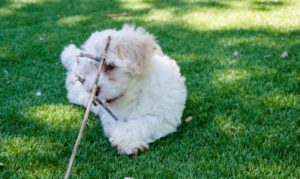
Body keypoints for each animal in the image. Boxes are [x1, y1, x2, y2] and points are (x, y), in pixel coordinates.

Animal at [60, 24, 186, 155]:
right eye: (87, 74)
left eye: (110, 66)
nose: (92, 90)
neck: (135, 95)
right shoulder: (110, 116)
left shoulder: (164, 112)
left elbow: (145, 122)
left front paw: (126, 142)